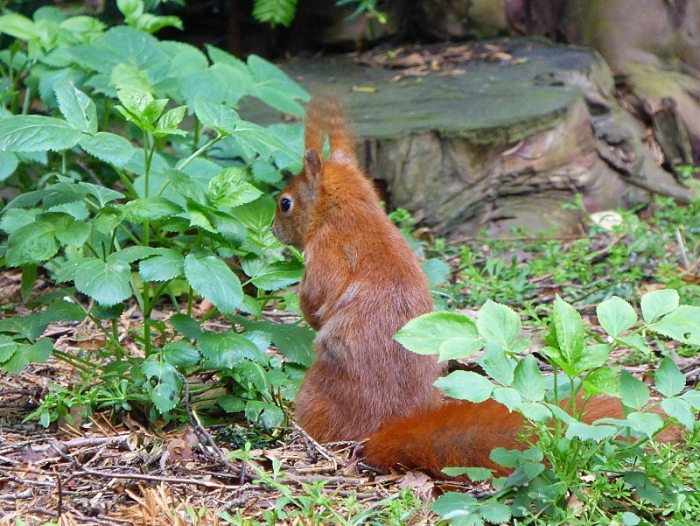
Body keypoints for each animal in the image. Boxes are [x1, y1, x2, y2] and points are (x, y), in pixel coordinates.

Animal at [272, 97, 681, 479]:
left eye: (285, 202)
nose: (274, 230)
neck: (351, 212)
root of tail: (381, 429)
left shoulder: (326, 255)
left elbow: (315, 300)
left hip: (314, 396)